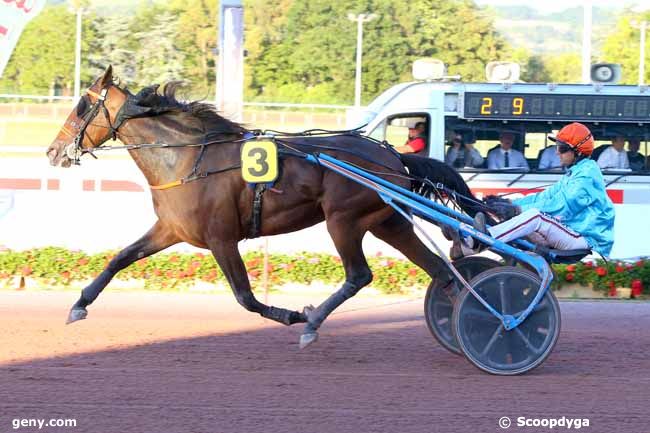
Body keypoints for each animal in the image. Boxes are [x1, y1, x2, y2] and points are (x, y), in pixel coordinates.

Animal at [46, 66, 480, 348]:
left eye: (82, 106)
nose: (53, 151)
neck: (186, 158)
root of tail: (393, 156)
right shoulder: (171, 229)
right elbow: (120, 258)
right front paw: (79, 305)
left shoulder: (221, 238)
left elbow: (245, 297)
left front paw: (294, 315)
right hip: (387, 221)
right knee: (440, 269)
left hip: (343, 220)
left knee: (359, 275)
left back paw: (313, 322)